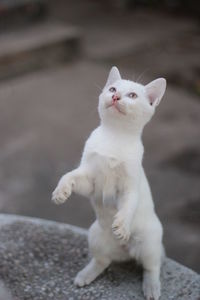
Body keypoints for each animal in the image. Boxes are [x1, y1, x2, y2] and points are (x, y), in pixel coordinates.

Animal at [51, 67, 166, 300]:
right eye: (112, 89)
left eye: (132, 95)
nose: (115, 96)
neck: (115, 137)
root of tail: (125, 252)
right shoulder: (89, 181)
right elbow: (68, 176)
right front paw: (61, 192)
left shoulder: (129, 187)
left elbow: (128, 206)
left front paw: (121, 225)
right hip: (95, 236)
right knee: (102, 261)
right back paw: (85, 276)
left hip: (150, 243)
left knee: (151, 267)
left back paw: (151, 288)